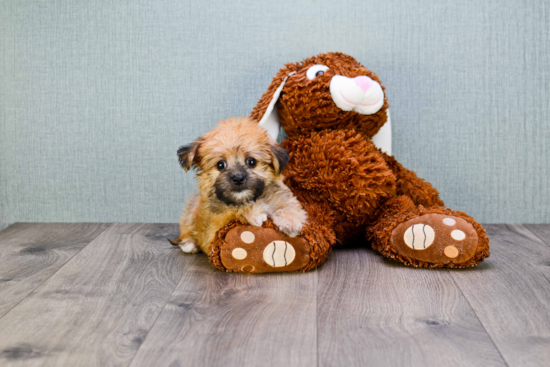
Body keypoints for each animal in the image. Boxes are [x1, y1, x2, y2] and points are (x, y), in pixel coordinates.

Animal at [172, 118, 308, 256]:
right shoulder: (214, 227)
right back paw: (189, 244)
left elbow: (291, 207)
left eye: (251, 161)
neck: (254, 198)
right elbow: (232, 210)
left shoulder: (283, 198)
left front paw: (290, 221)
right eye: (220, 165)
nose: (238, 178)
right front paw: (253, 213)